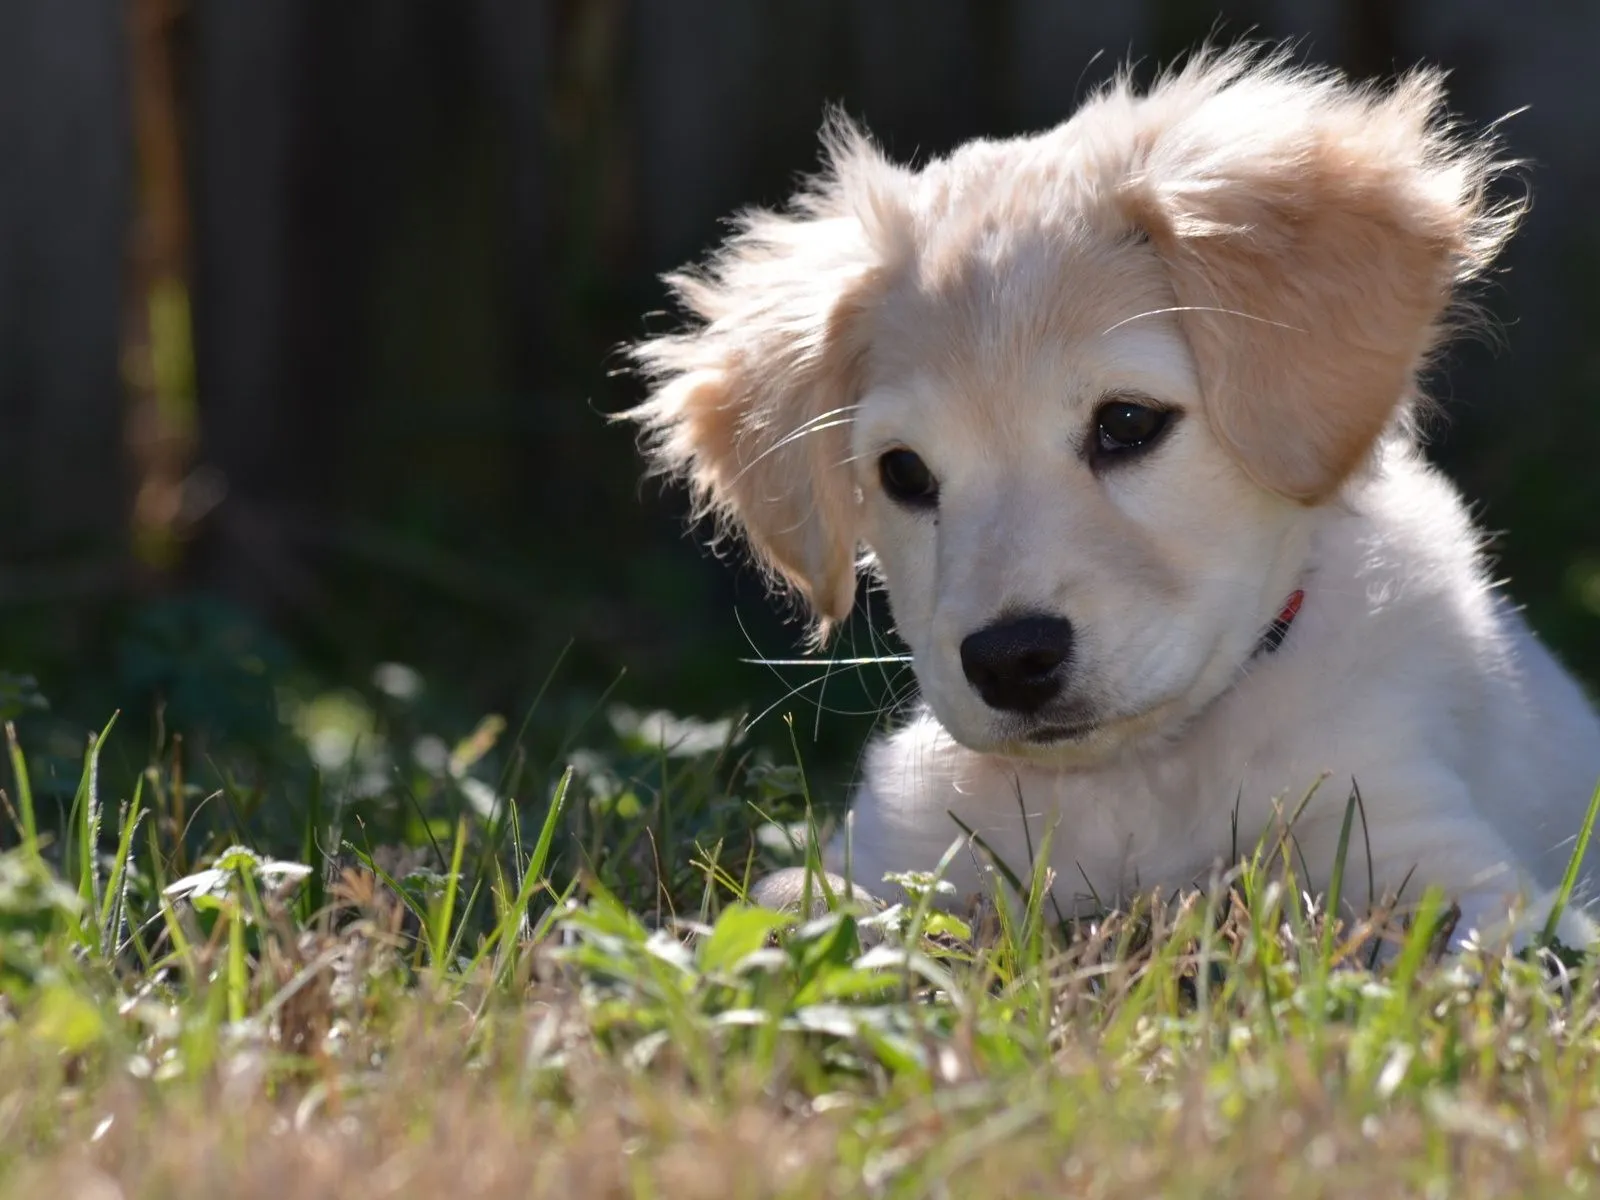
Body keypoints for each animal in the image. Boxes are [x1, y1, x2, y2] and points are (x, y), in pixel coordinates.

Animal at [620, 47, 1600, 953]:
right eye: (903, 473)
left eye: (1126, 422)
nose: (1010, 661)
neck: (1142, 778)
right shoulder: (898, 849)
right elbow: (802, 908)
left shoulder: (1438, 860)